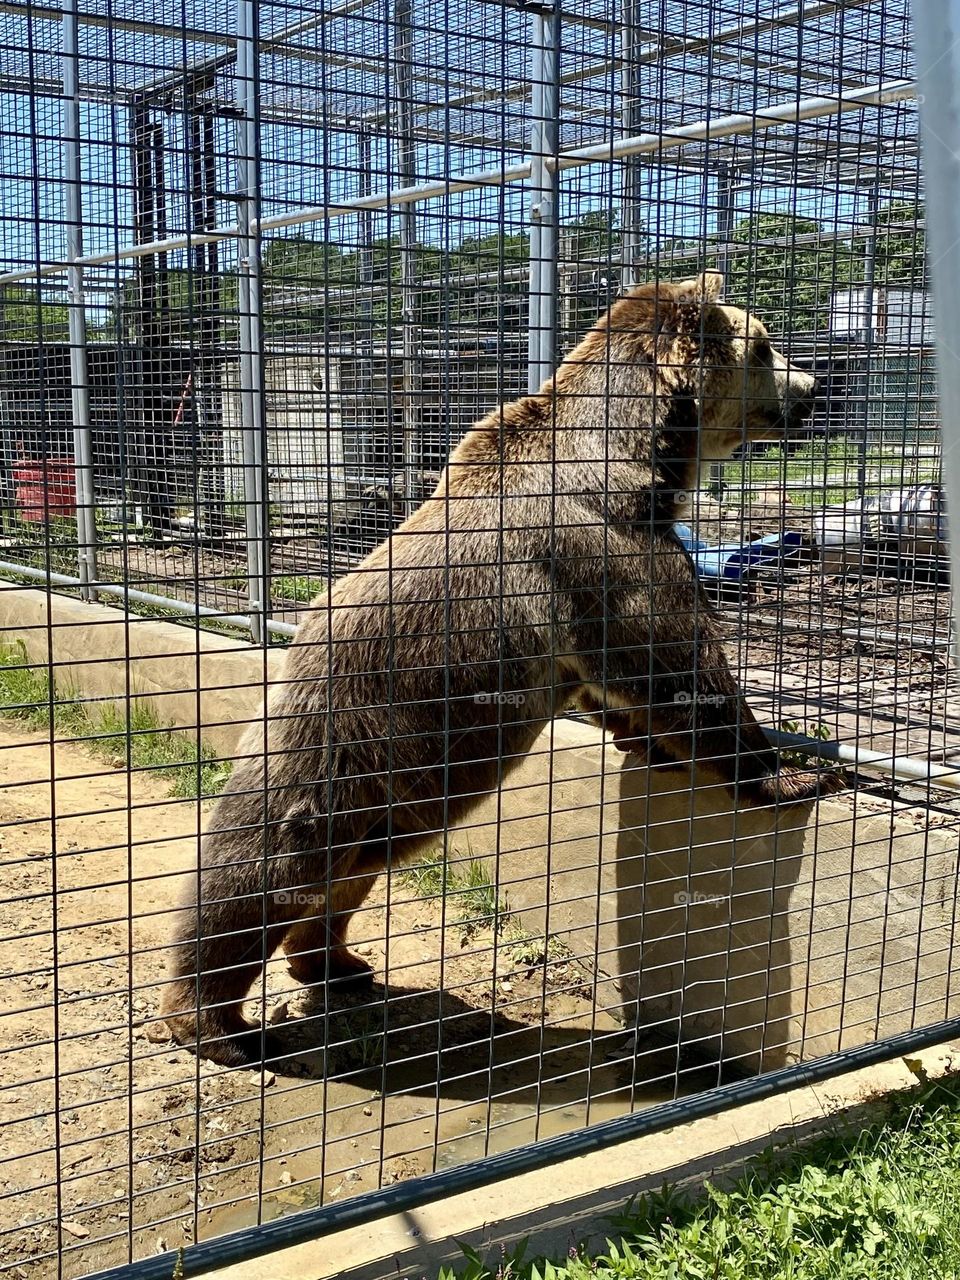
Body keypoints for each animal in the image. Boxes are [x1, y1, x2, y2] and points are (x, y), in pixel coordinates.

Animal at [160, 271, 843, 1067]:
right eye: (764, 345)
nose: (816, 387)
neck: (638, 454)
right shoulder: (605, 553)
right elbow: (680, 670)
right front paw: (792, 773)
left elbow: (623, 690)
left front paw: (648, 745)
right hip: (341, 738)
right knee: (262, 864)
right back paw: (211, 1022)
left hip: (406, 784)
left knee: (352, 871)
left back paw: (336, 963)